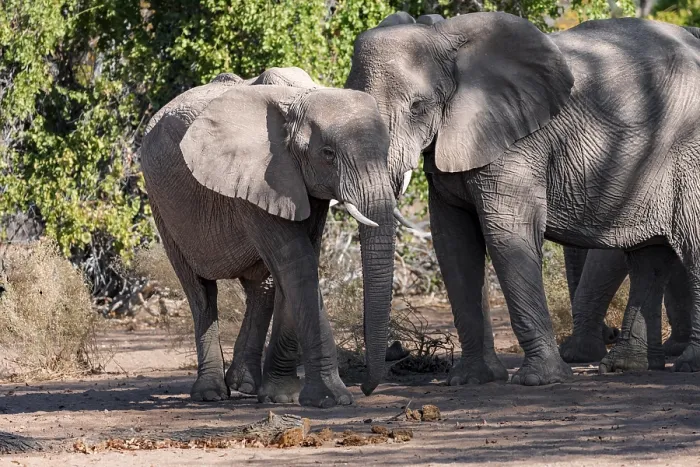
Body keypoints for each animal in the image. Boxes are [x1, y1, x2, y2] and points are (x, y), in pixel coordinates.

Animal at [140, 70, 397, 406]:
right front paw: (331, 399)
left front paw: (281, 396)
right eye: (328, 154)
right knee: (200, 292)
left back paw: (245, 385)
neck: (300, 97)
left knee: (262, 287)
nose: (366, 388)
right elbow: (297, 261)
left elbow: (301, 260)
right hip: (161, 202)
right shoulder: (257, 175)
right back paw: (211, 393)